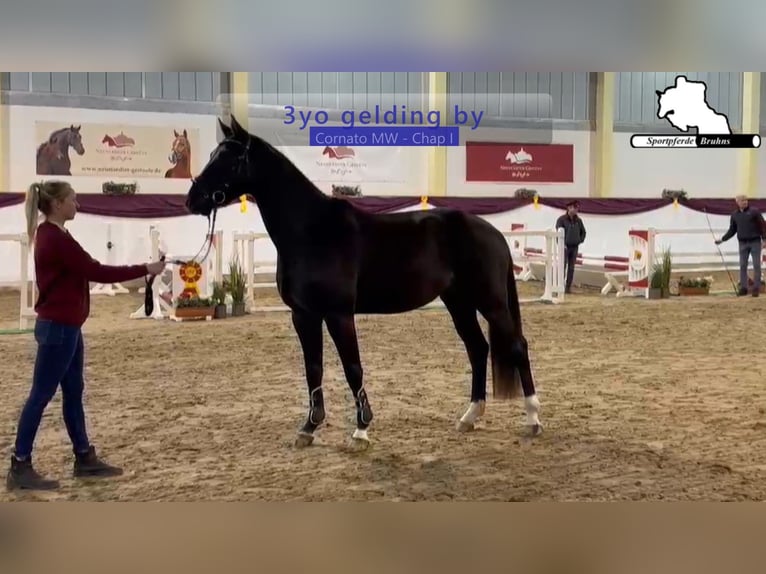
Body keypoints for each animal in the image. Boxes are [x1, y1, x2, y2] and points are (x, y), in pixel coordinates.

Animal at [184, 115, 543, 451]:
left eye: (229, 159)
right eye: (213, 154)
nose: (193, 199)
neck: (312, 231)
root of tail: (494, 233)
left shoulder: (339, 314)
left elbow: (352, 367)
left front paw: (361, 430)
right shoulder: (304, 315)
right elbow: (313, 368)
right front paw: (308, 428)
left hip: (491, 303)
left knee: (517, 346)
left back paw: (533, 419)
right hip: (459, 303)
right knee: (478, 348)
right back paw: (470, 416)